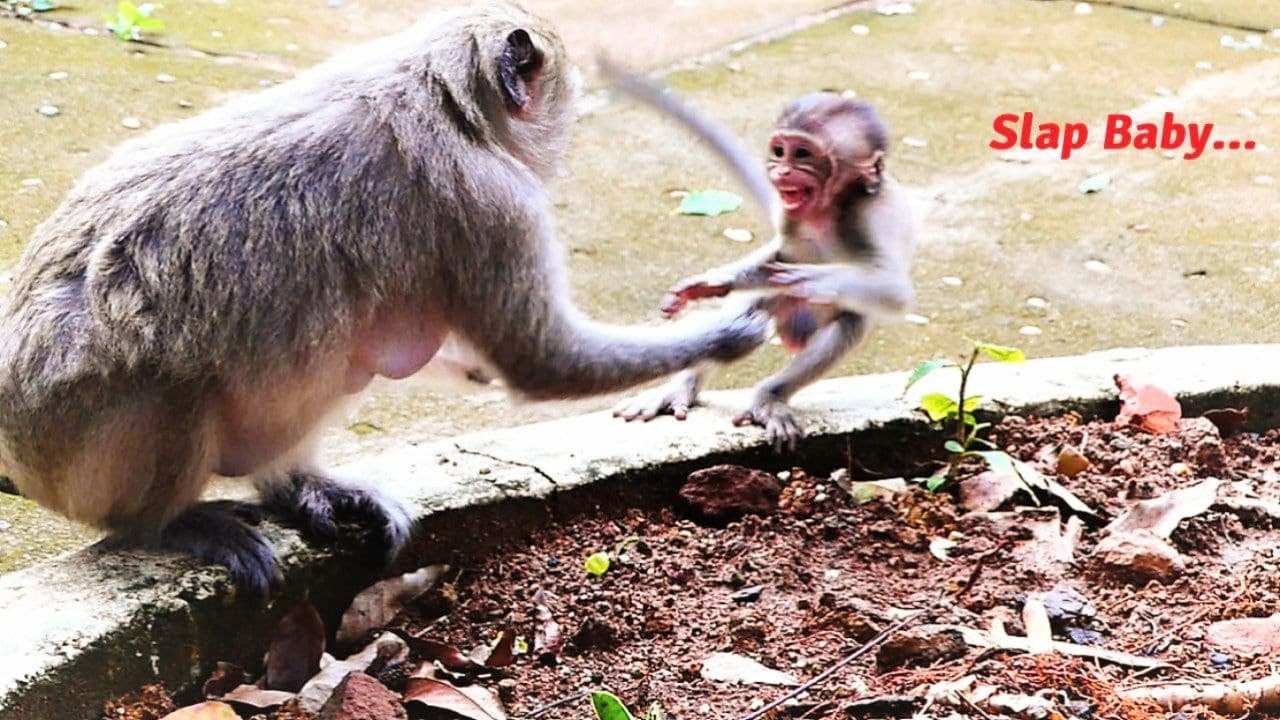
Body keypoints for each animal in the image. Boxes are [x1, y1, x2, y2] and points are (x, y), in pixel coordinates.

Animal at [0, 1, 769, 597]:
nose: (563, 141)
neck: (440, 93)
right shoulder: (494, 206)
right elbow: (540, 363)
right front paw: (724, 335)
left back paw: (295, 484)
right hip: (74, 442)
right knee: (174, 386)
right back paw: (164, 523)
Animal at [603, 61, 916, 452]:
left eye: (803, 155)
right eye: (780, 150)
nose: (780, 171)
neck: (826, 210)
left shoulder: (874, 213)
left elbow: (894, 291)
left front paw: (808, 278)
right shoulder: (788, 214)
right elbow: (777, 254)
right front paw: (710, 283)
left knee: (848, 326)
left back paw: (770, 397)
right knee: (746, 311)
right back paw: (682, 386)